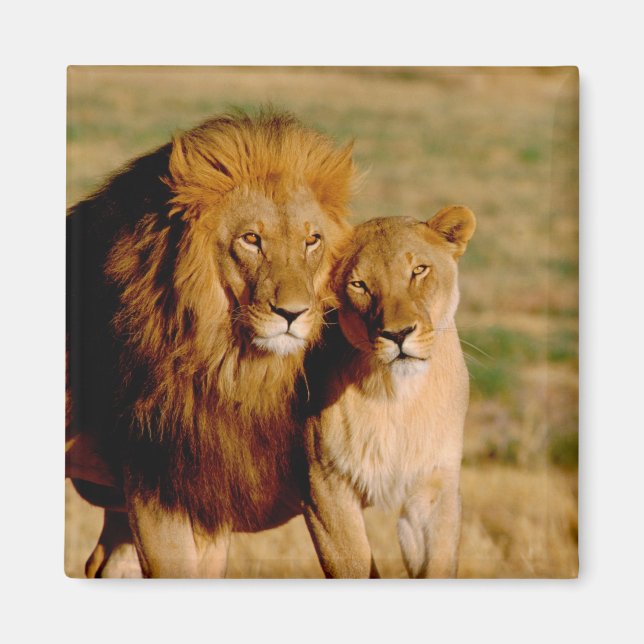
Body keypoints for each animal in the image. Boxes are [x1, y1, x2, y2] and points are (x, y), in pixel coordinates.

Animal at [66, 109, 356, 577]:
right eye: (251, 239)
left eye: (312, 240)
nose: (293, 314)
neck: (228, 363)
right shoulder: (155, 485)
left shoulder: (211, 491)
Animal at [302, 206, 476, 578]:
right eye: (359, 285)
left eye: (418, 270)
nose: (397, 334)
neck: (397, 398)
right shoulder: (324, 488)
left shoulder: (434, 485)